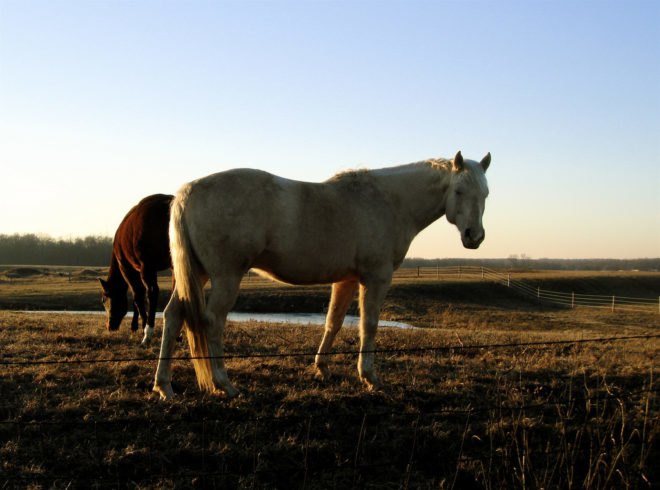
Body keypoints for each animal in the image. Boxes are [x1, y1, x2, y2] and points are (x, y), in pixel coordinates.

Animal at [99, 193, 173, 344]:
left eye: (104, 300)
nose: (110, 326)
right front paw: (135, 325)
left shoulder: (128, 268)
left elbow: (137, 296)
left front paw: (140, 326)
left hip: (148, 266)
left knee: (152, 292)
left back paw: (148, 333)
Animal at [153, 151, 491, 400]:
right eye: (459, 191)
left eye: (486, 193)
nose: (474, 237)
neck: (386, 203)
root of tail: (187, 192)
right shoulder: (375, 278)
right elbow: (369, 326)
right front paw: (370, 377)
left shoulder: (346, 280)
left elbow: (334, 322)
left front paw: (322, 368)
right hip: (226, 277)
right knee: (212, 322)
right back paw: (224, 384)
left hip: (197, 275)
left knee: (172, 316)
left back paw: (164, 386)